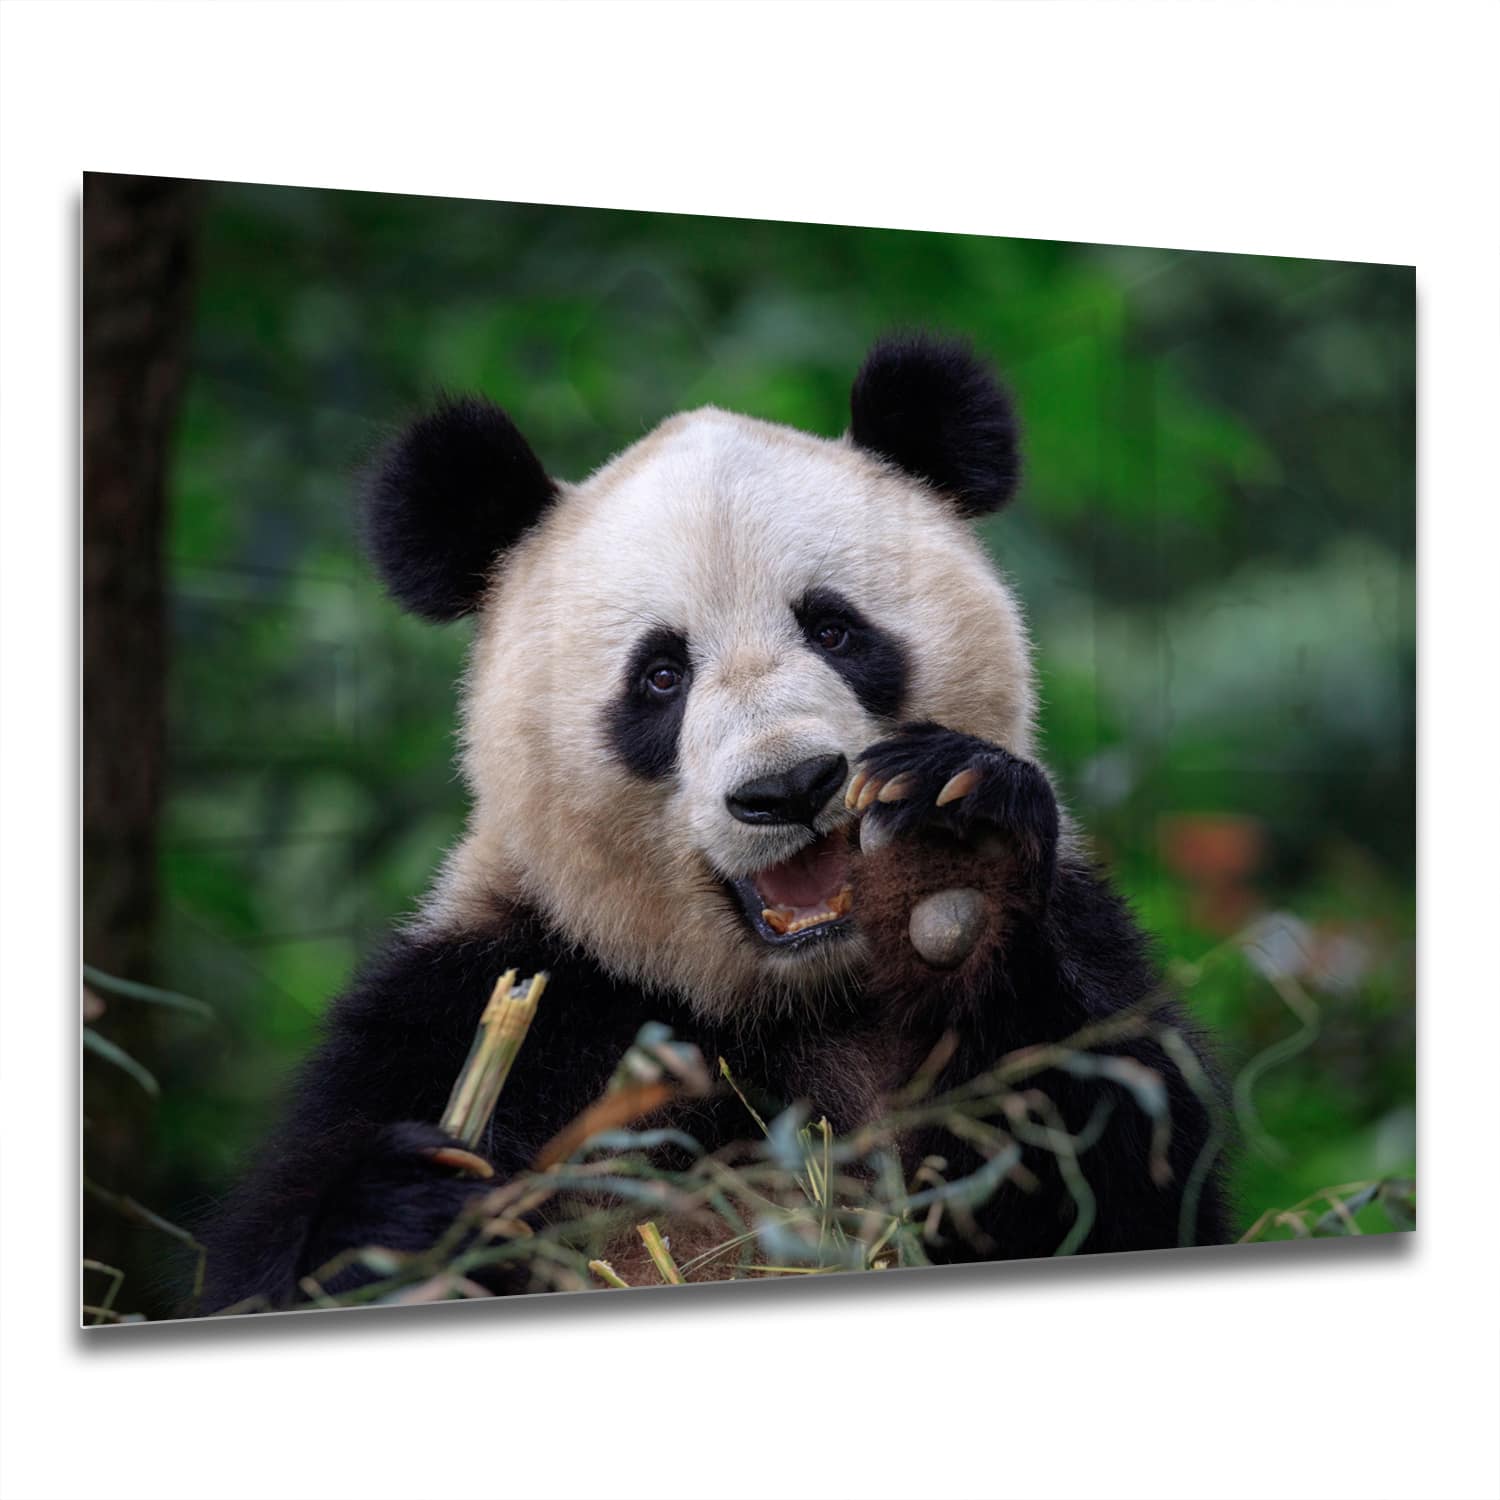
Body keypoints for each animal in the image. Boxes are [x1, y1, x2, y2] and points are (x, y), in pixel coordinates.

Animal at [199, 334, 1231, 1310]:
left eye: (834, 629)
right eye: (661, 675)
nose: (790, 787)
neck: (787, 1001)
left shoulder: (1085, 939)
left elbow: (1119, 1179)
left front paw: (960, 866)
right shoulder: (485, 999)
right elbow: (265, 1261)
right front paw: (405, 1218)